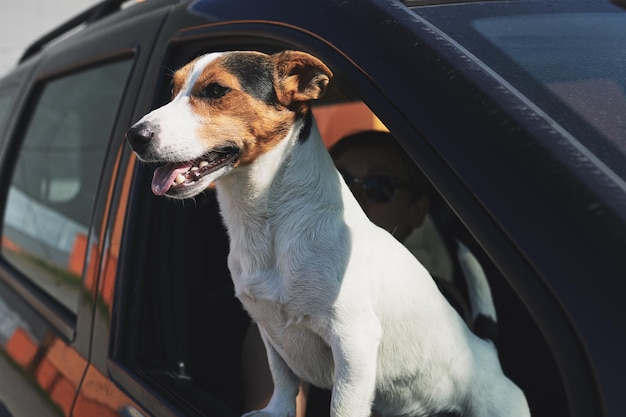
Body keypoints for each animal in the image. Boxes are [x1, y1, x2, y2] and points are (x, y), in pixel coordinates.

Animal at [125, 50, 528, 414]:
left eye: (216, 90)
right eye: (173, 89)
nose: (134, 135)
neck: (271, 224)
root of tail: (485, 350)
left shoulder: (353, 341)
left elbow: (342, 407)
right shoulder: (269, 331)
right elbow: (283, 380)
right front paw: (276, 412)